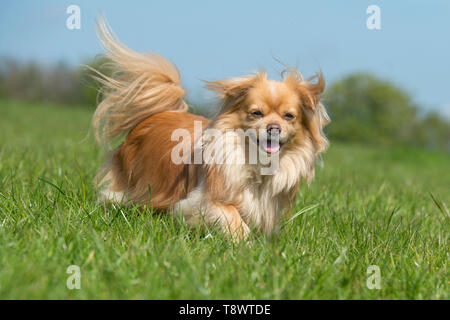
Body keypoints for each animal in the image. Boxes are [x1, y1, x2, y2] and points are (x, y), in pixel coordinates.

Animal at [92, 16, 330, 239]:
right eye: (256, 113)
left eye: (289, 116)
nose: (274, 127)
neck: (256, 163)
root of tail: (158, 114)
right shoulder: (203, 200)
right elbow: (231, 214)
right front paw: (244, 242)